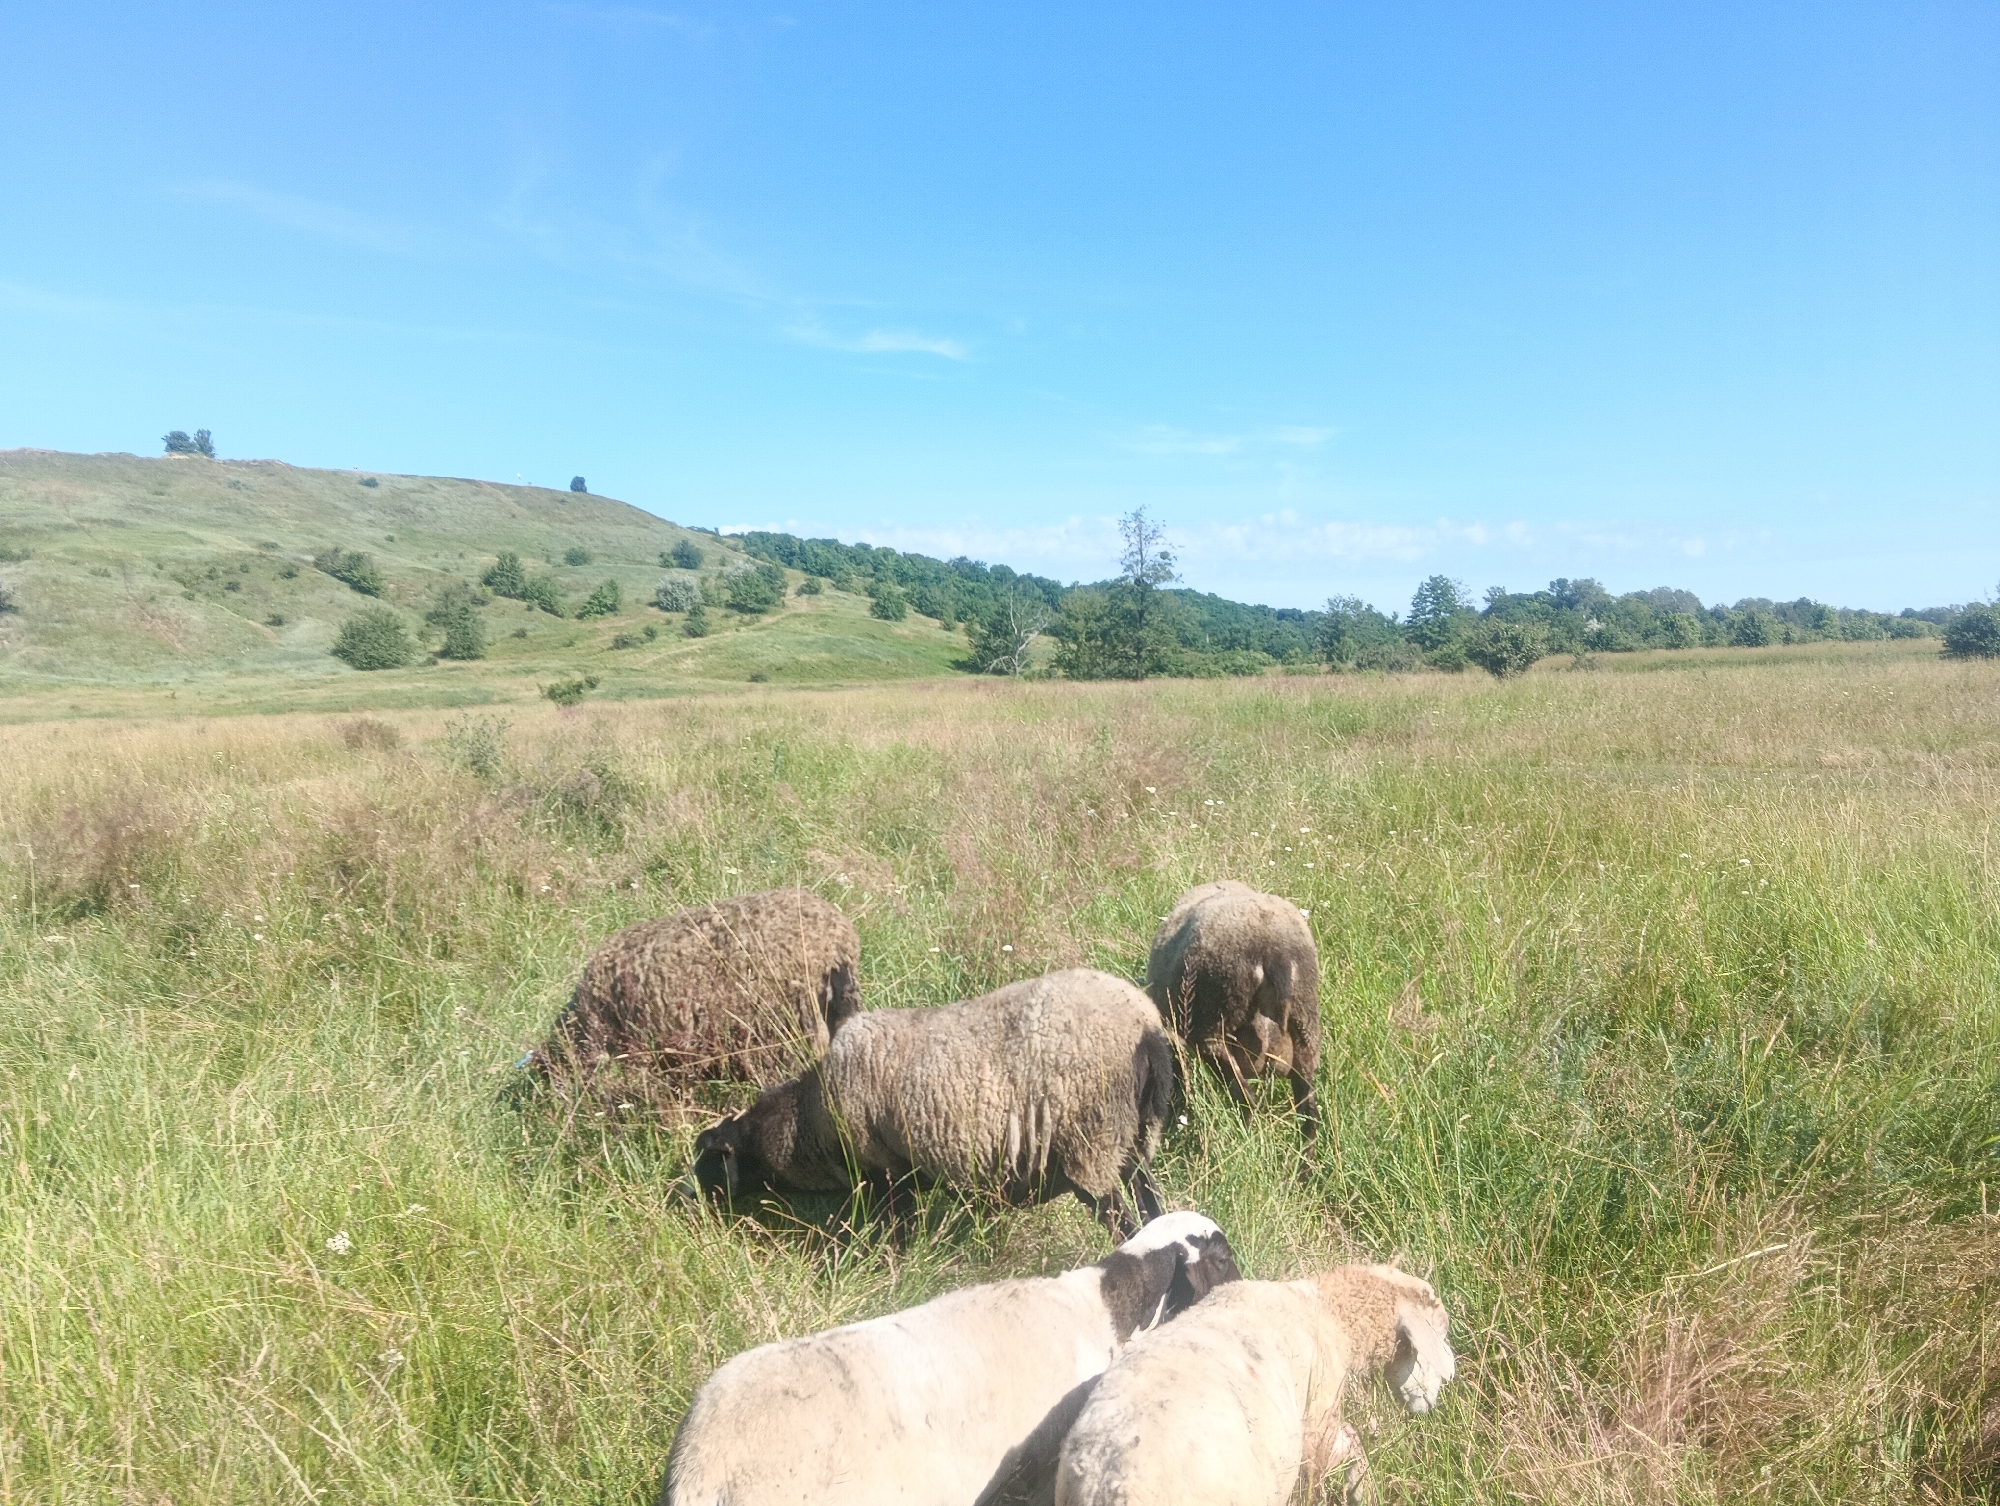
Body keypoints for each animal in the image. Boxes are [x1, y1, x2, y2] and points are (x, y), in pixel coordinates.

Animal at [692, 968, 1173, 1237]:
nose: (686, 1197)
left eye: (710, 1158)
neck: (808, 1123)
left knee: (1124, 1225)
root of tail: (1145, 1028)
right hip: (1133, 1140)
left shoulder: (889, 1175)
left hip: (1090, 1144)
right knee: (1152, 1207)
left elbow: (897, 1238)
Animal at [1051, 1264, 1454, 1506]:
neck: (1325, 1312)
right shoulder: (1316, 1421)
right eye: (1441, 1331)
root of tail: (1106, 1483)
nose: (1433, 1405)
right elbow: (1332, 1460)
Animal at [1146, 880, 1321, 1141]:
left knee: (1247, 1100)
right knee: (1309, 1113)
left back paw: (1247, 1139)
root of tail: (1274, 952)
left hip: (1213, 1022)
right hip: (1305, 1024)